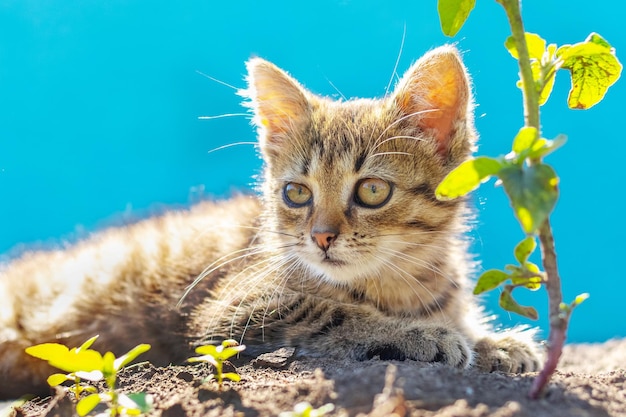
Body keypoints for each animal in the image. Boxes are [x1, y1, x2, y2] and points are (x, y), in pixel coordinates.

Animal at [0, 44, 536, 396]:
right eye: (296, 193)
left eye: (372, 190)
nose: (321, 237)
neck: (402, 281)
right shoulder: (228, 312)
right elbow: (330, 312)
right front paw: (423, 335)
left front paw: (493, 342)